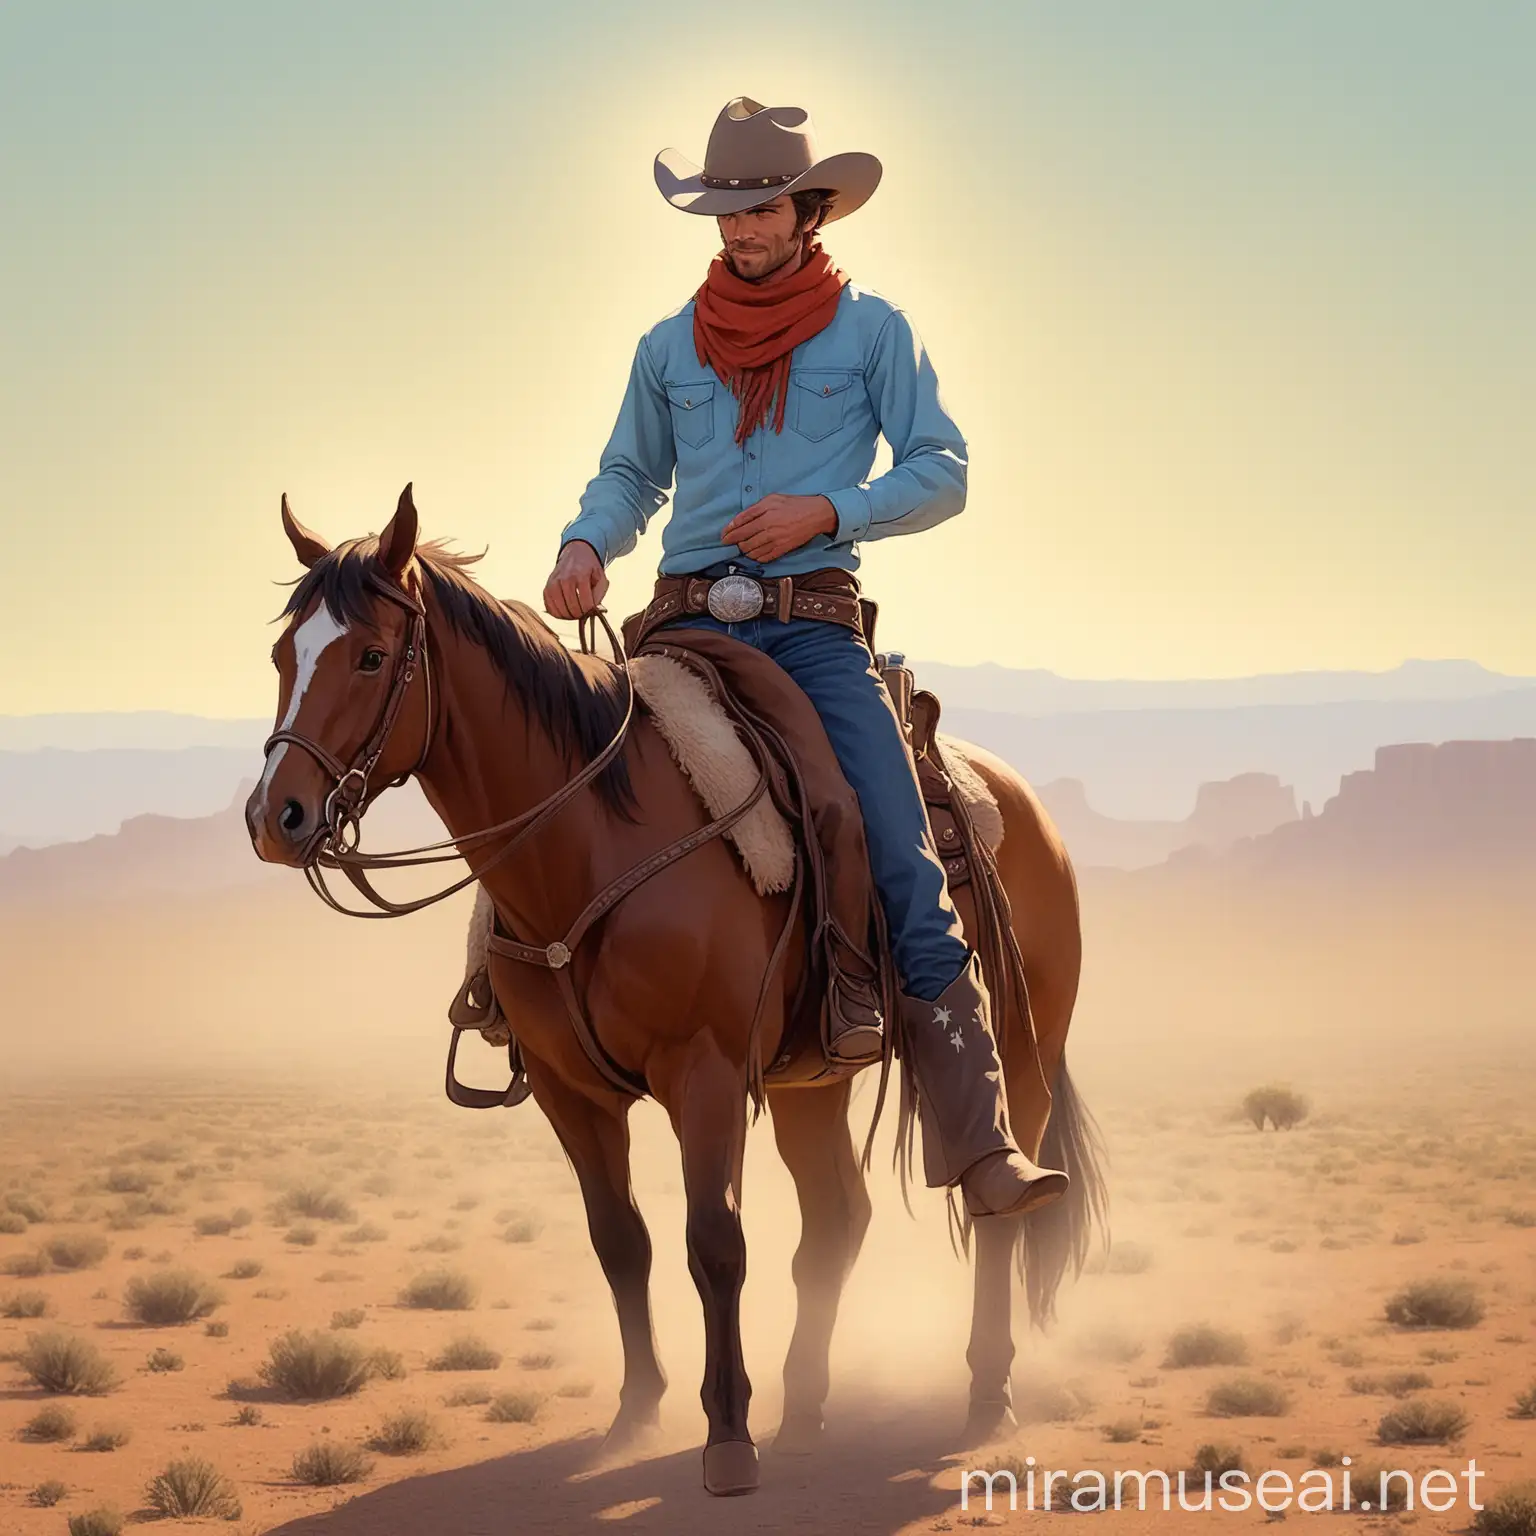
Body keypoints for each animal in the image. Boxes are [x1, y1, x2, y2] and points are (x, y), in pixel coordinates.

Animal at [242, 488, 1105, 1499]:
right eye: (283, 655)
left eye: (373, 655)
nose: (275, 817)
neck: (586, 840)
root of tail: (1022, 804)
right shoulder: (570, 1091)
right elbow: (623, 1242)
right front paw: (636, 1414)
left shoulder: (707, 1072)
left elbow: (715, 1244)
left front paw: (726, 1436)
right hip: (812, 1081)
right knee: (836, 1221)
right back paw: (804, 1410)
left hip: (1026, 1053)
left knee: (998, 1197)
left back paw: (985, 1394)